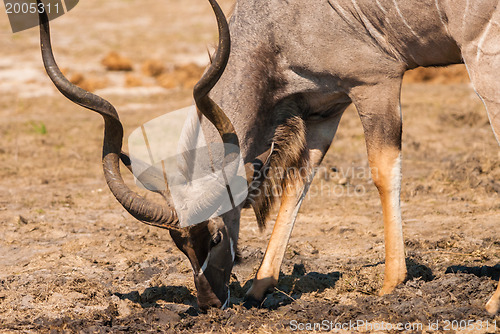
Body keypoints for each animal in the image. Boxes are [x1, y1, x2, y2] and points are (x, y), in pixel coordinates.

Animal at [37, 0, 498, 314]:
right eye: (178, 243)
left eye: (216, 236)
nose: (211, 302)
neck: (278, 22)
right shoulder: (323, 110)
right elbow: (297, 185)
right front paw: (260, 287)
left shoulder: (376, 83)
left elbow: (383, 172)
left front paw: (390, 282)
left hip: (482, 69)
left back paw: (492, 301)